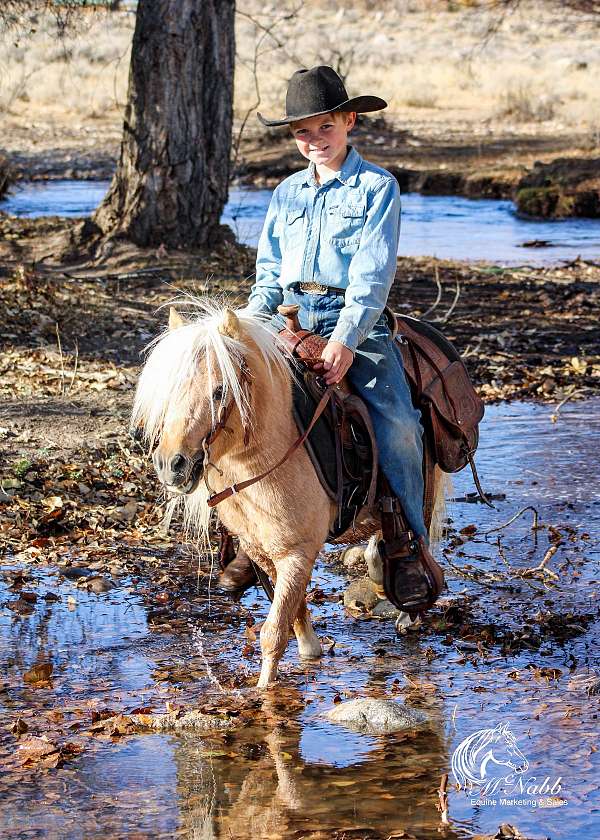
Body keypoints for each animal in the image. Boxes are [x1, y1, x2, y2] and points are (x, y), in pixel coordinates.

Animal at [134, 302, 442, 688]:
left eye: (220, 391)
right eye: (168, 390)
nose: (171, 464)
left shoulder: (296, 553)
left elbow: (273, 632)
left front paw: (266, 692)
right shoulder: (262, 549)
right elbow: (293, 612)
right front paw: (311, 649)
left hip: (421, 476)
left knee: (414, 527)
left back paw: (409, 606)